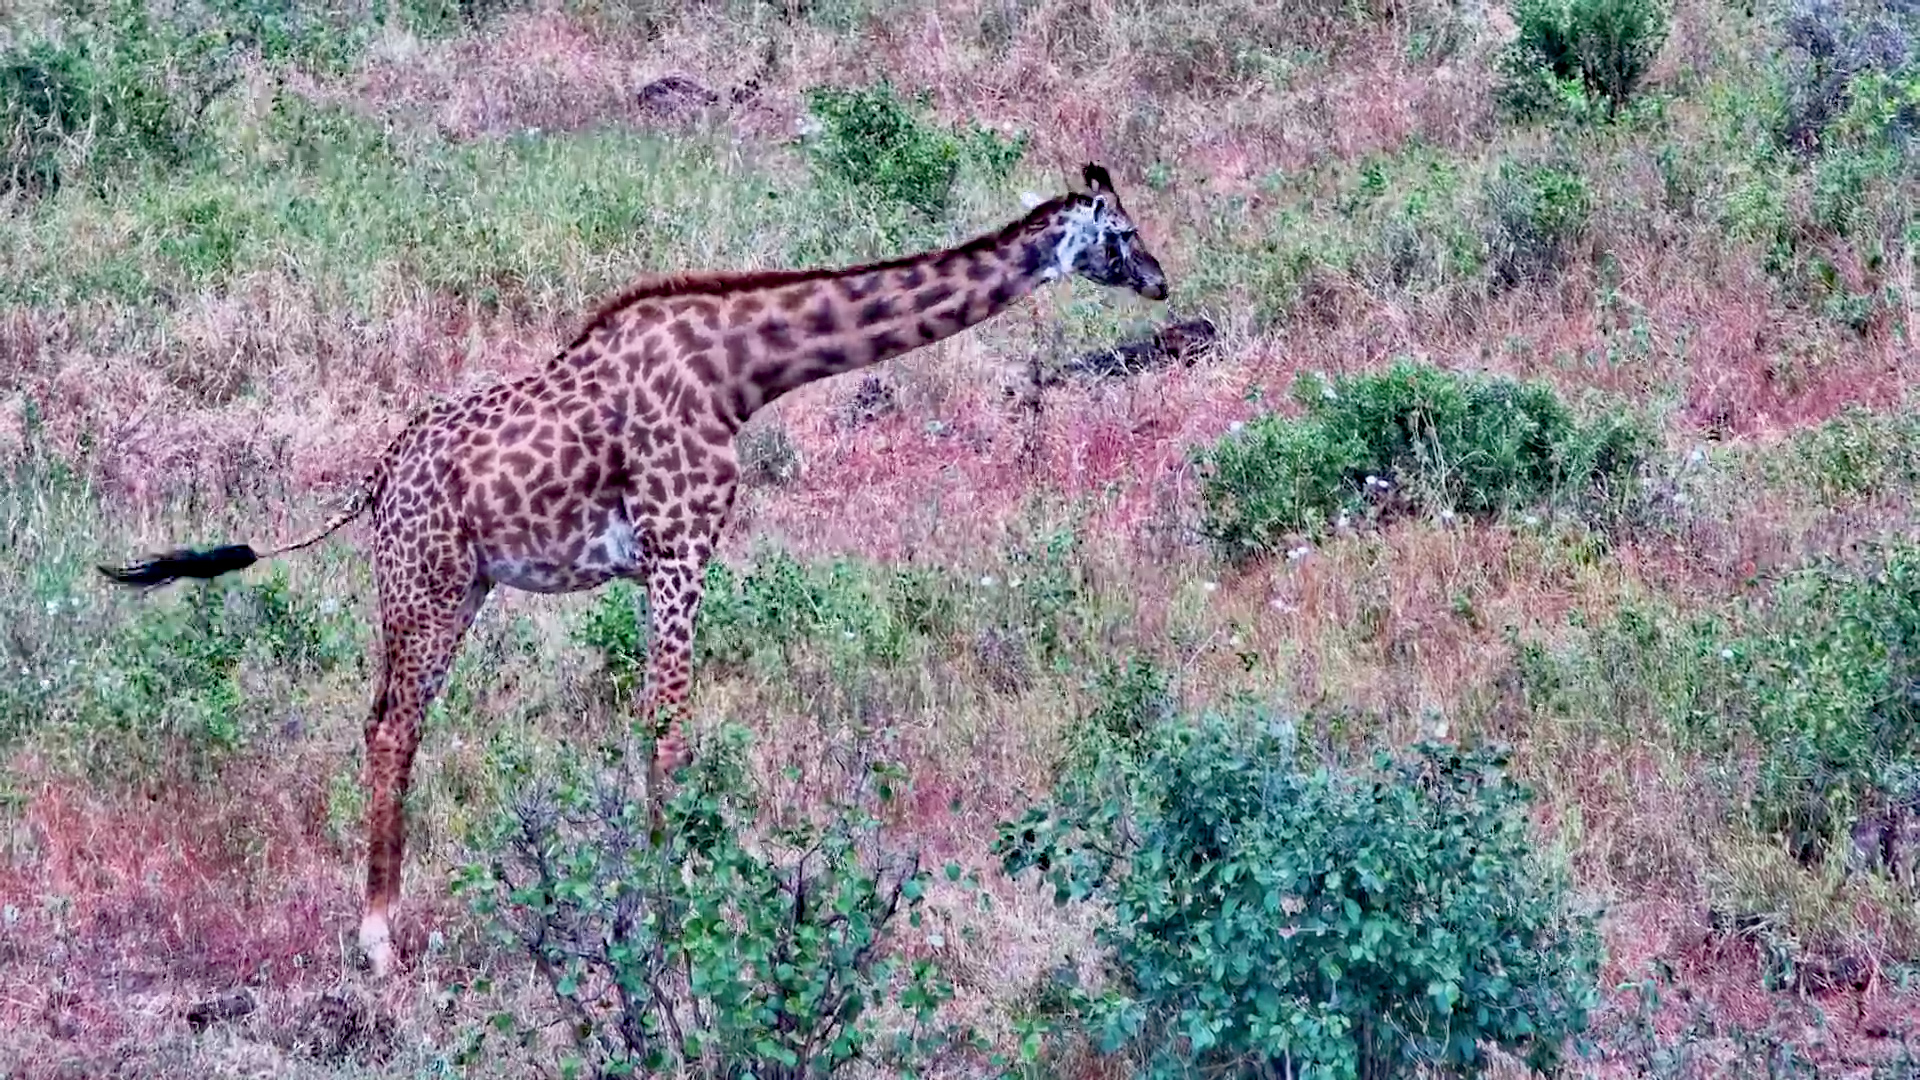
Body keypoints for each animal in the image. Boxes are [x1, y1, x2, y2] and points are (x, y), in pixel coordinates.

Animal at [97, 163, 1170, 978]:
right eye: (1119, 232)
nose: (1162, 278)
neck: (743, 373)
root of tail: (376, 476)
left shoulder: (667, 556)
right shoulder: (681, 544)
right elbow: (667, 727)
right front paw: (673, 915)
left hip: (455, 588)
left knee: (384, 721)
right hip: (426, 584)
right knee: (394, 727)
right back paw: (377, 943)